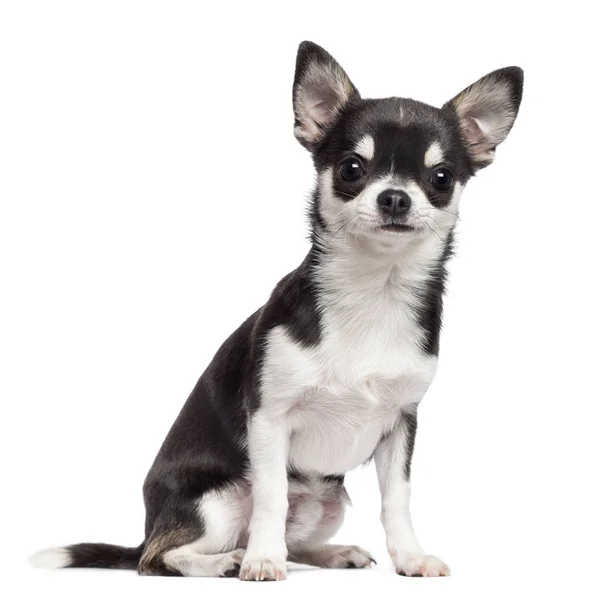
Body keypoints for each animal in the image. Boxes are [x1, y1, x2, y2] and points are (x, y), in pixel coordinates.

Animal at [31, 40, 520, 576]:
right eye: (352, 169)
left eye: (441, 178)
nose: (394, 197)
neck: (374, 287)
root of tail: (149, 527)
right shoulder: (269, 420)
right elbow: (272, 496)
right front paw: (263, 562)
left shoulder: (401, 425)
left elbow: (397, 499)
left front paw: (410, 558)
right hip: (216, 502)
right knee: (160, 558)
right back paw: (229, 561)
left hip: (328, 501)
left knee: (296, 536)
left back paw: (330, 553)